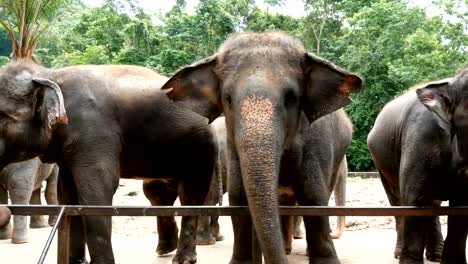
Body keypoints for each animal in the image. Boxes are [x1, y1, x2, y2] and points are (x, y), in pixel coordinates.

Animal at [0, 60, 216, 264]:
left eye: (2, 117)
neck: (50, 74)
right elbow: (68, 195)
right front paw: (76, 261)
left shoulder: (94, 133)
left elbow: (97, 191)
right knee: (158, 195)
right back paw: (164, 249)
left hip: (201, 149)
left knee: (190, 195)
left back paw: (183, 259)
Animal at [161, 31, 362, 264]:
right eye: (228, 99)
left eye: (290, 98)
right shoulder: (232, 146)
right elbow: (238, 196)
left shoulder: (317, 139)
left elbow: (313, 195)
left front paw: (326, 262)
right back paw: (285, 248)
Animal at [368, 67, 468, 264]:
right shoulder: (421, 137)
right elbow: (415, 202)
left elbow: (461, 209)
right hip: (380, 162)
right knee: (398, 201)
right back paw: (400, 252)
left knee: (433, 205)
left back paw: (436, 255)